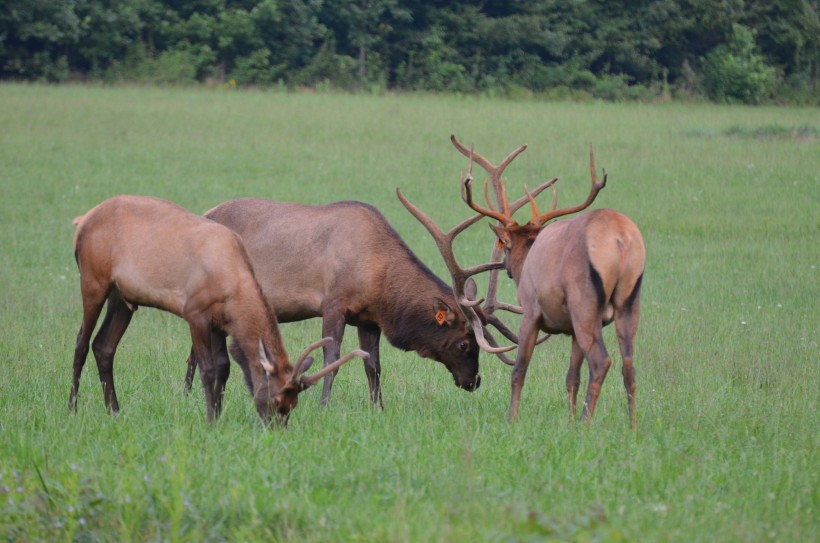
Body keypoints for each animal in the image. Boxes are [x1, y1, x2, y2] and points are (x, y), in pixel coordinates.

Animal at [70, 194, 366, 424]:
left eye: (293, 404)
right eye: (277, 398)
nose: (276, 428)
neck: (231, 285)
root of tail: (81, 221)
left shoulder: (220, 323)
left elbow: (224, 367)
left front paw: (220, 415)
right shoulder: (195, 313)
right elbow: (208, 368)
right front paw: (211, 419)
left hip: (122, 298)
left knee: (104, 346)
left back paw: (114, 411)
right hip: (93, 280)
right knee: (82, 342)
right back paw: (72, 406)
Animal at [184, 198, 506, 406]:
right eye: (464, 344)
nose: (474, 381)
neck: (379, 281)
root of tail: (206, 213)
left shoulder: (368, 319)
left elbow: (373, 366)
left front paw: (378, 407)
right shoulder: (334, 305)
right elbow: (332, 359)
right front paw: (323, 405)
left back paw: (187, 394)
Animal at [406, 135, 644, 430]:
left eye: (505, 245)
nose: (508, 268)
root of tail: (620, 240)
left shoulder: (531, 311)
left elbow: (519, 369)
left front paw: (512, 419)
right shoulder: (570, 329)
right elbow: (571, 377)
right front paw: (568, 423)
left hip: (585, 305)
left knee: (601, 362)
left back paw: (586, 424)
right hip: (629, 302)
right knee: (628, 365)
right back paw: (632, 427)